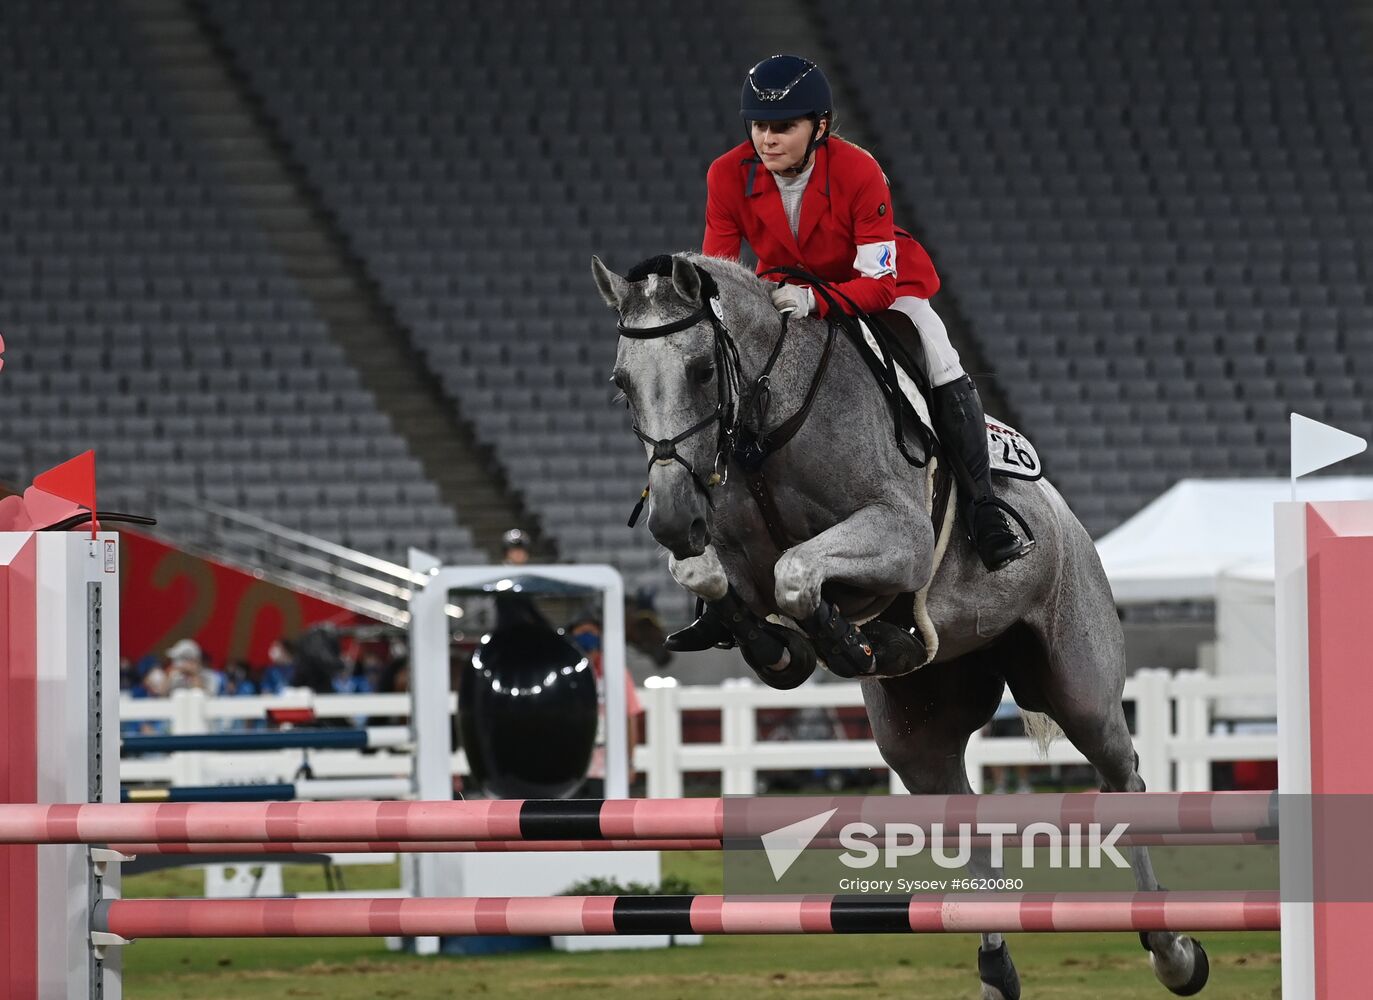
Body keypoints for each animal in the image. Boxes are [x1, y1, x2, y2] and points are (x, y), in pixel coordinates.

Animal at [593, 251, 1213, 1000]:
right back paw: (995, 966)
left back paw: (1171, 948)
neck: (766, 430)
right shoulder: (723, 549)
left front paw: (836, 639)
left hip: (1079, 684)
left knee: (1122, 780)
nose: (667, 516)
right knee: (961, 817)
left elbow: (796, 572)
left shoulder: (899, 537)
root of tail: (1068, 520)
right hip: (917, 735)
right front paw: (781, 648)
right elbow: (711, 577)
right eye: (621, 384)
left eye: (702, 370)